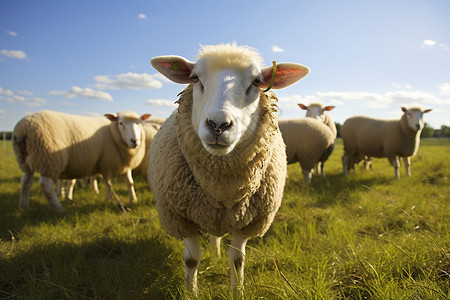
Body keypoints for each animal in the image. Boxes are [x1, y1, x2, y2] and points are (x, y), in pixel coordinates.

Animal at [10, 109, 150, 211]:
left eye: (139, 123)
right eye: (120, 123)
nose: (135, 141)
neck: (112, 132)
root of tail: (23, 128)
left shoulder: (124, 162)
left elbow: (130, 182)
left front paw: (133, 199)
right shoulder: (106, 163)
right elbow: (108, 183)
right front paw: (108, 200)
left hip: (26, 159)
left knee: (25, 181)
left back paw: (23, 207)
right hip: (48, 158)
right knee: (46, 184)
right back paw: (58, 208)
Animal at [148, 42, 310, 292]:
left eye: (256, 81)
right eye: (195, 78)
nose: (218, 125)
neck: (222, 188)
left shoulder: (248, 221)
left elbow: (237, 259)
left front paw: (237, 290)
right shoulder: (180, 218)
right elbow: (191, 259)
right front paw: (191, 292)